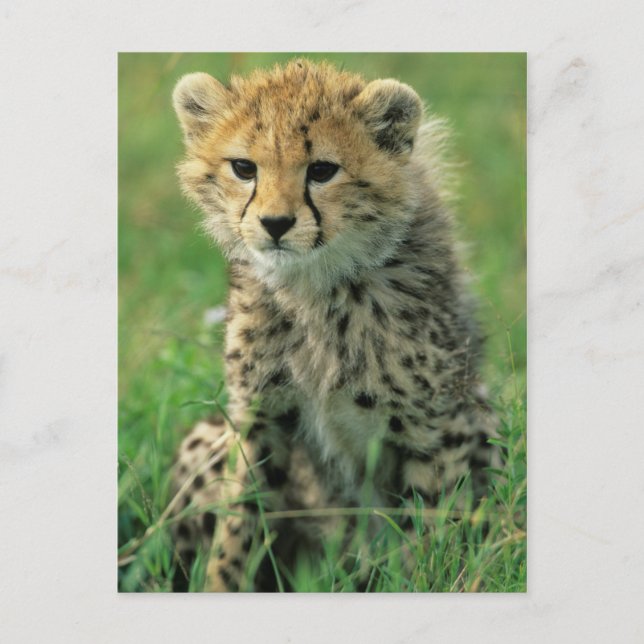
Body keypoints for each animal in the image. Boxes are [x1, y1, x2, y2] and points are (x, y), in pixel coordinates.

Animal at [169, 59, 499, 592]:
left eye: (322, 170)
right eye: (244, 168)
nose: (275, 224)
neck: (315, 287)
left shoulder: (434, 424)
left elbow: (429, 526)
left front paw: (427, 582)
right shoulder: (261, 416)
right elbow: (239, 523)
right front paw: (221, 586)